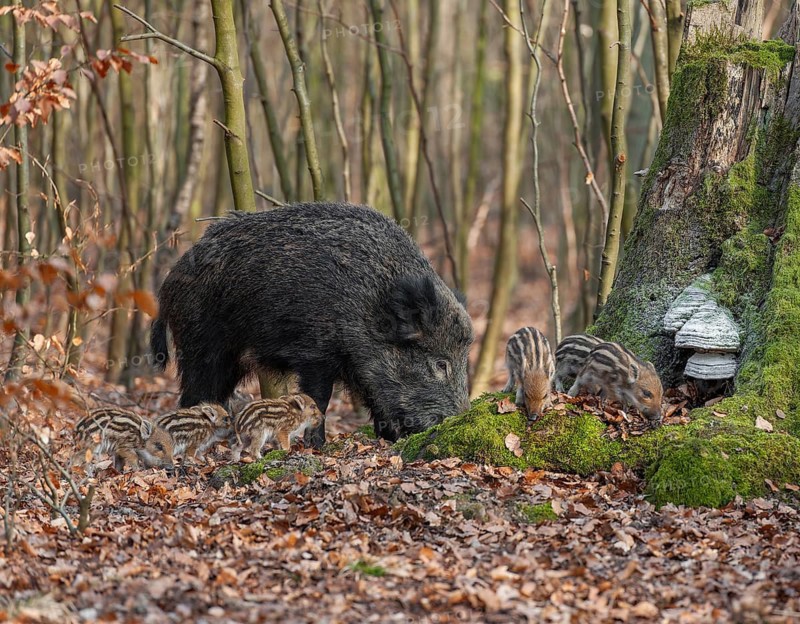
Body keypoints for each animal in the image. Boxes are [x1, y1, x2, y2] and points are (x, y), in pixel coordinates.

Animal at [151, 202, 474, 446]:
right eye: (440, 364)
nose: (458, 419)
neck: (370, 307)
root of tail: (168, 284)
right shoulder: (315, 354)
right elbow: (319, 399)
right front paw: (317, 445)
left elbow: (376, 400)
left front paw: (389, 439)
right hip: (204, 347)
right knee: (194, 394)